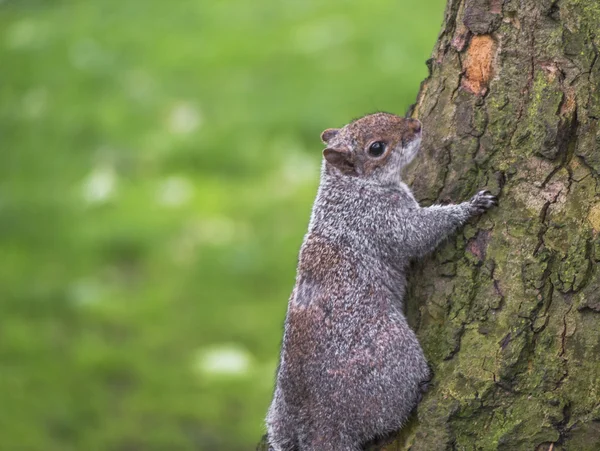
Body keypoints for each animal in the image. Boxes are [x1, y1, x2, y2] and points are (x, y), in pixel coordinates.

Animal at [266, 113, 496, 451]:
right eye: (377, 148)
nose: (416, 126)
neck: (349, 186)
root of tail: (322, 427)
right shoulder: (381, 220)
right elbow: (418, 234)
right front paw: (469, 206)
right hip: (394, 355)